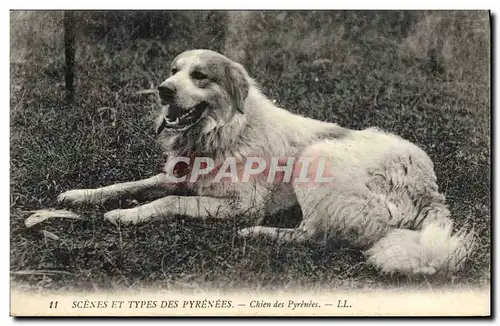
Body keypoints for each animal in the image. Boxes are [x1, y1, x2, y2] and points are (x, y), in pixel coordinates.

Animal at [57, 49, 472, 276]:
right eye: (174, 71)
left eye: (200, 76)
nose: (163, 90)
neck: (225, 131)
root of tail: (430, 190)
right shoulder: (176, 176)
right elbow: (127, 185)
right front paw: (80, 195)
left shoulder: (242, 205)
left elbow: (167, 201)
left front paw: (126, 215)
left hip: (316, 157)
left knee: (314, 236)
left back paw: (259, 234)